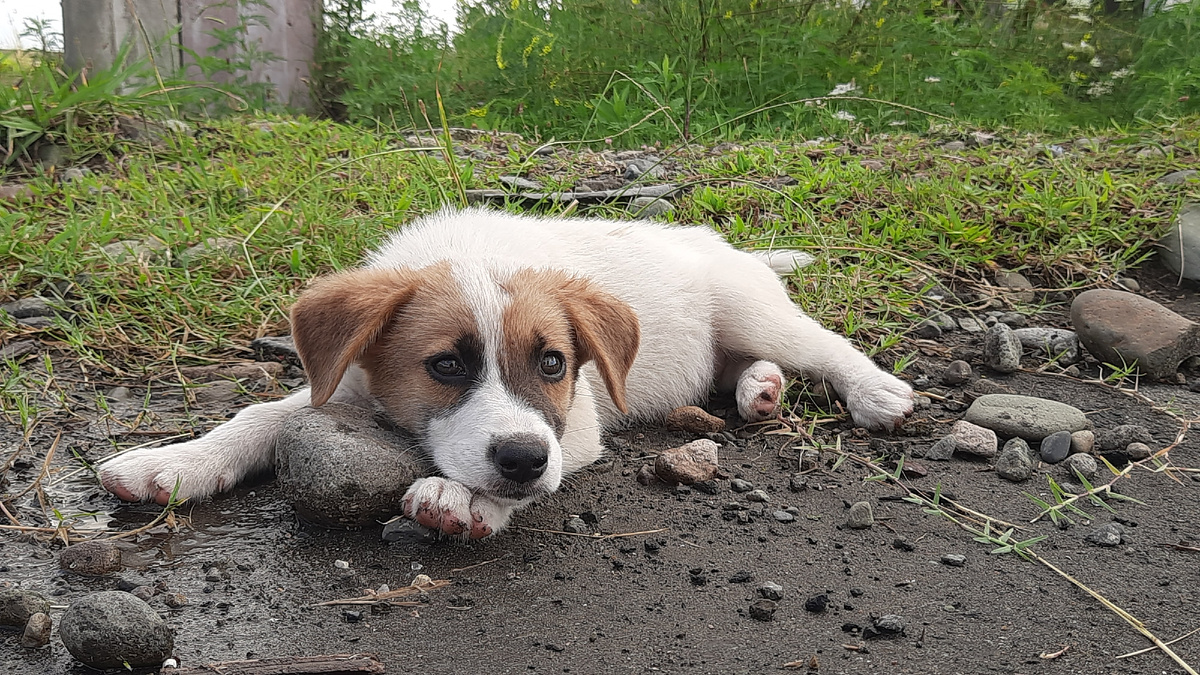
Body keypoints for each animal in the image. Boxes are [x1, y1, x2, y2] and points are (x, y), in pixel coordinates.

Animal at [100, 206, 907, 535]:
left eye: (553, 363)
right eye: (446, 365)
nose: (521, 460)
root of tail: (720, 244)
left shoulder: (576, 421)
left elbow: (530, 467)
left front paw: (465, 500)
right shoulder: (344, 378)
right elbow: (260, 415)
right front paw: (175, 462)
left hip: (751, 308)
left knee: (825, 345)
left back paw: (874, 390)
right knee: (746, 365)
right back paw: (758, 389)